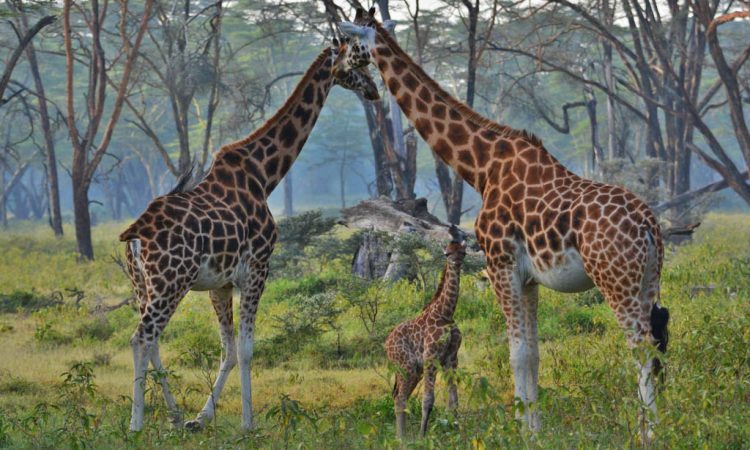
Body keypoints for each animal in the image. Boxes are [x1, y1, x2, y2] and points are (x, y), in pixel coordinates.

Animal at [119, 39, 379, 432]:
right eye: (356, 61)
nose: (374, 90)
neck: (264, 174)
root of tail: (135, 234)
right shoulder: (258, 268)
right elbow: (246, 349)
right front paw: (248, 422)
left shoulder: (221, 283)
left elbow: (227, 350)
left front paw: (201, 418)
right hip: (170, 280)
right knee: (141, 338)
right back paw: (136, 424)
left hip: (143, 284)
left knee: (153, 342)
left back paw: (174, 416)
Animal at [385, 224, 466, 439]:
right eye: (447, 253)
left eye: (463, 252)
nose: (456, 262)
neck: (446, 313)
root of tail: (386, 344)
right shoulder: (431, 357)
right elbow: (428, 399)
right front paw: (423, 436)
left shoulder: (451, 359)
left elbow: (454, 400)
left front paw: (456, 429)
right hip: (405, 365)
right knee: (400, 397)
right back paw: (402, 439)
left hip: (413, 371)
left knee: (399, 396)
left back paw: (402, 436)